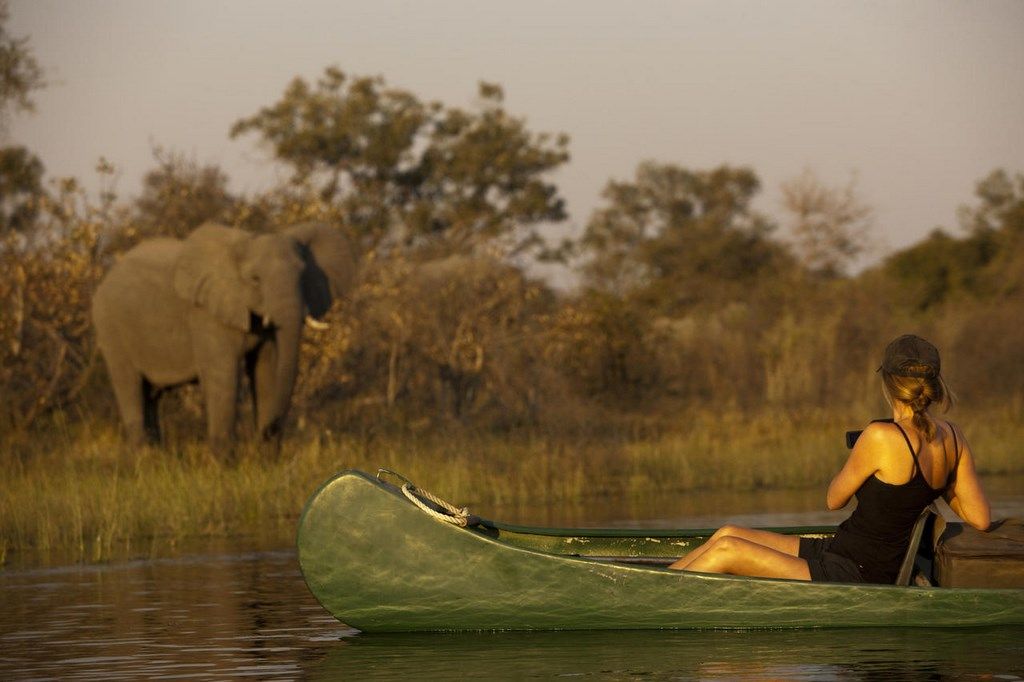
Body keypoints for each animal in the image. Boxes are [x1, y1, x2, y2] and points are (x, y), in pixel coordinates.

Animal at [93, 220, 356, 448]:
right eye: (255, 279)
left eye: (302, 276)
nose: (267, 432)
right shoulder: (206, 315)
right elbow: (224, 375)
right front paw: (225, 466)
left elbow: (267, 370)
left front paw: (267, 461)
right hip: (110, 328)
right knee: (131, 388)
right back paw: (144, 460)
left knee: (150, 397)